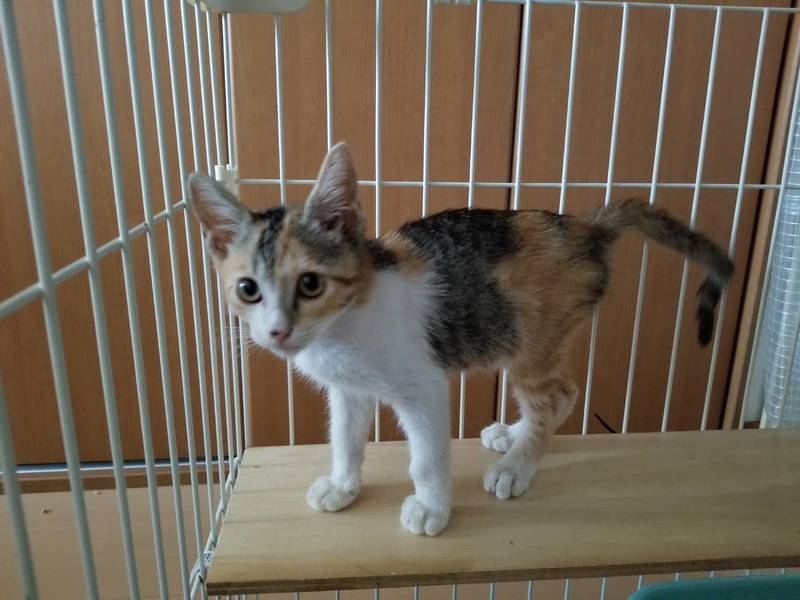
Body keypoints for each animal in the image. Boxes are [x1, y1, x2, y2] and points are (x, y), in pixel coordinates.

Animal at [187, 142, 733, 536]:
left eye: (310, 284)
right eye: (248, 290)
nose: (278, 331)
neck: (344, 322)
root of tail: (584, 227)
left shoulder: (422, 386)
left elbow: (427, 457)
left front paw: (432, 509)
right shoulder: (348, 390)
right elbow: (344, 438)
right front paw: (343, 486)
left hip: (533, 335)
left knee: (556, 393)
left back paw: (517, 466)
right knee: (560, 395)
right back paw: (515, 437)